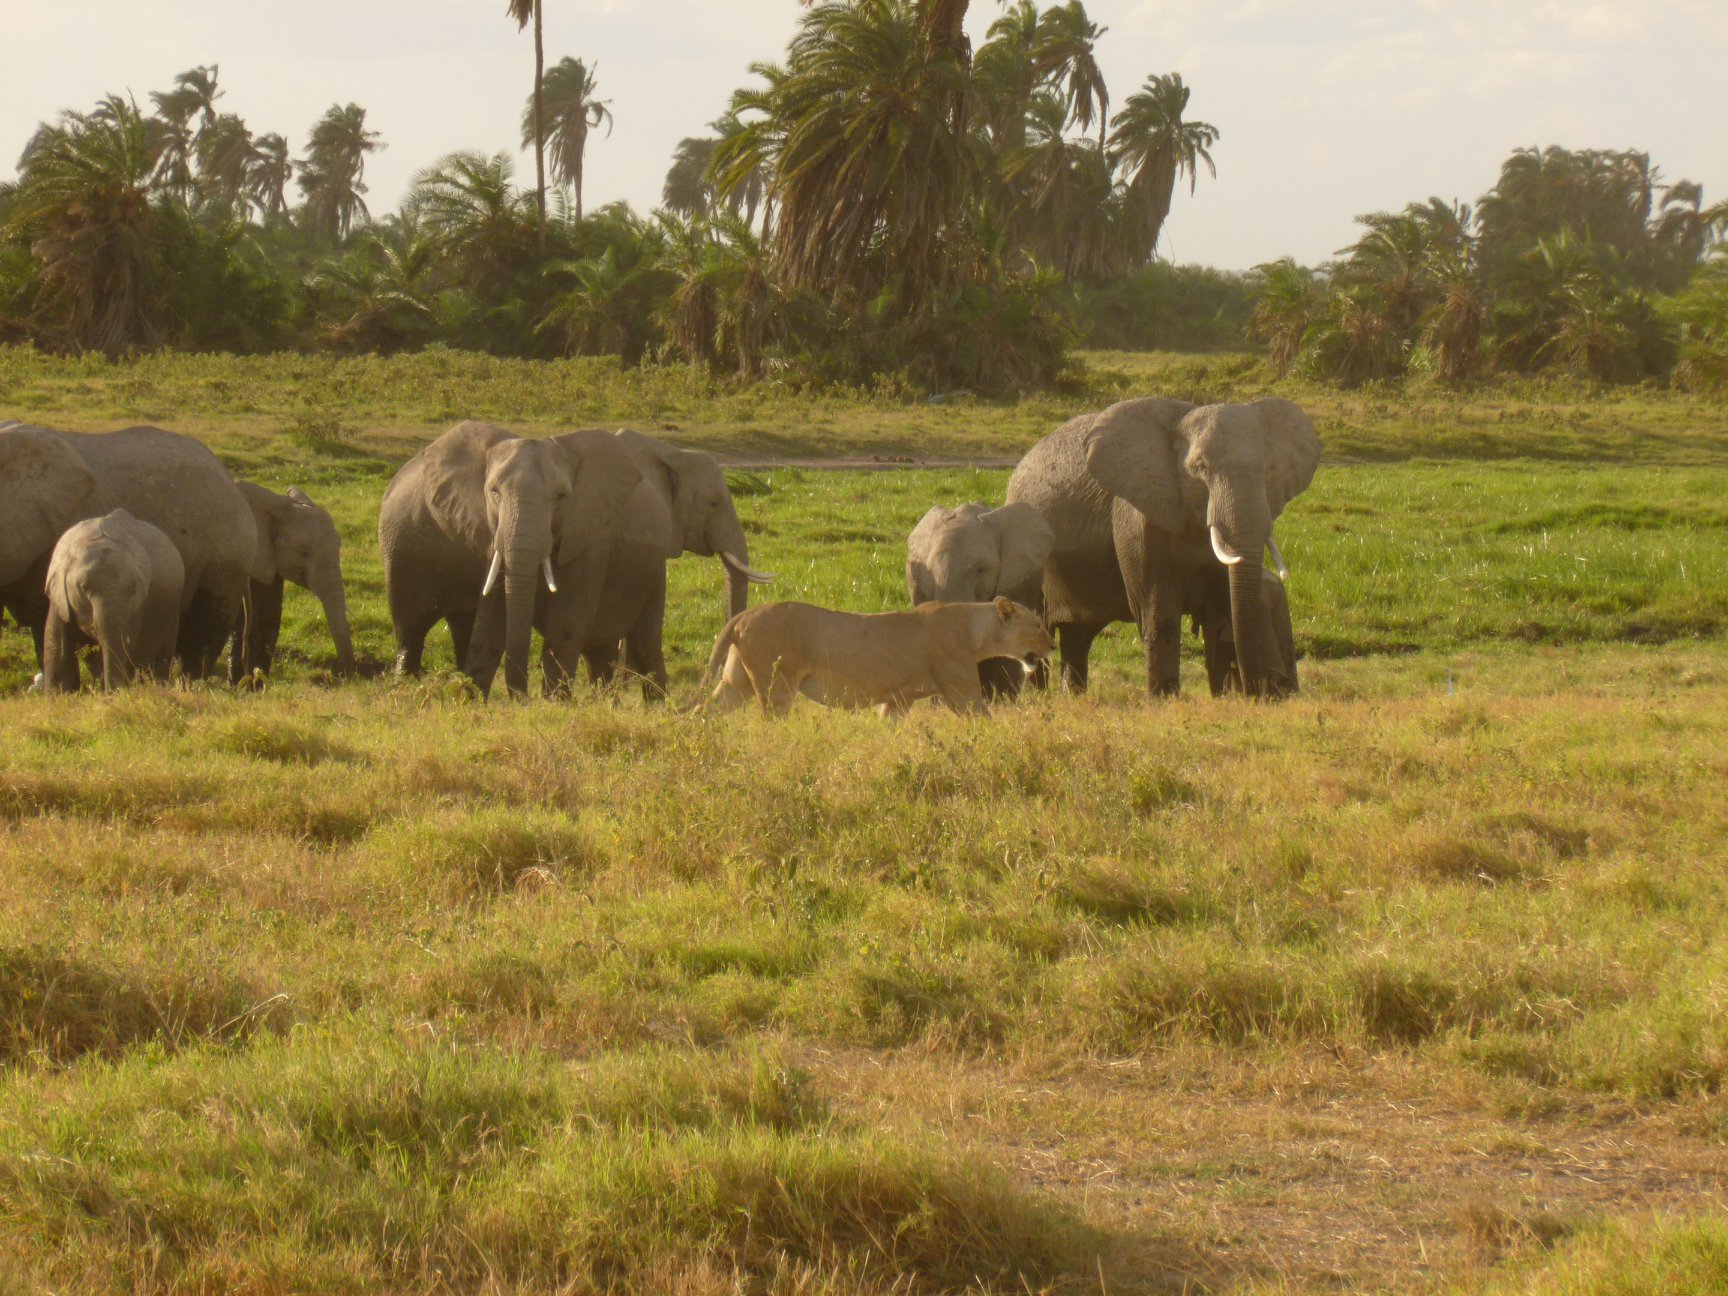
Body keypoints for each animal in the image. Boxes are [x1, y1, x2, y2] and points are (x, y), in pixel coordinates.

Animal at [42, 509, 185, 691]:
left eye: (133, 590)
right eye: (84, 588)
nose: (112, 692)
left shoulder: (138, 607)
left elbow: (125, 643)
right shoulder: (59, 594)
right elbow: (56, 643)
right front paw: (57, 693)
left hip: (172, 605)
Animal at [380, 421, 645, 698]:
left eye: (561, 496)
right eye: (494, 493)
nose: (523, 698)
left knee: (461, 626)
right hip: (402, 547)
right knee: (411, 628)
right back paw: (403, 685)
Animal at [698, 597, 1054, 716]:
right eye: (1038, 625)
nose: (1052, 646)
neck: (975, 630)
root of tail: (745, 614)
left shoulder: (898, 699)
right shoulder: (962, 694)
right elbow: (985, 721)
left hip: (735, 682)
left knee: (707, 710)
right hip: (777, 686)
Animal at [1005, 397, 1320, 698]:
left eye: (1269, 470)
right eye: (1200, 468)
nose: (1261, 692)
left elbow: (1221, 610)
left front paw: (1224, 698)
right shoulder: (1137, 518)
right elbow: (1160, 610)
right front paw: (1164, 699)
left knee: (1078, 635)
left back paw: (1073, 698)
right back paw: (1038, 698)